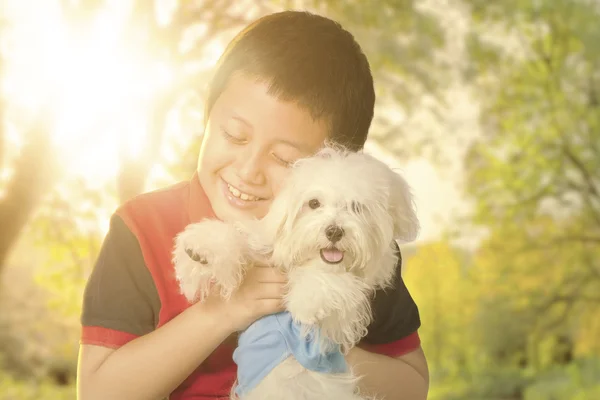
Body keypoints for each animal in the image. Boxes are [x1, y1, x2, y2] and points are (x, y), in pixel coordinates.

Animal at [171, 145, 420, 400]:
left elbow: (332, 286)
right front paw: (201, 249)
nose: (334, 231)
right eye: (314, 203)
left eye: (356, 207)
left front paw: (306, 301)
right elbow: (242, 243)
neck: (306, 264)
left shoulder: (340, 322)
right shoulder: (264, 254)